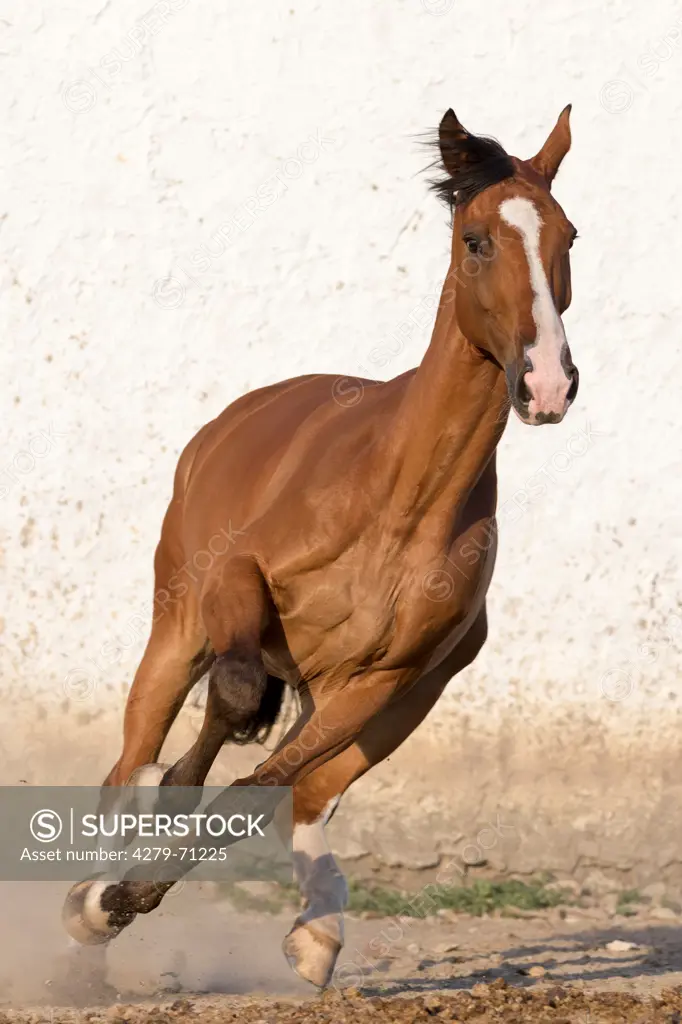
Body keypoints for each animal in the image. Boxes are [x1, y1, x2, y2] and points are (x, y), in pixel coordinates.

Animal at [61, 105, 577, 991]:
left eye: (568, 237)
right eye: (476, 239)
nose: (545, 382)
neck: (401, 501)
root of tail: (226, 422)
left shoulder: (387, 683)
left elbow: (262, 789)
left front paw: (130, 897)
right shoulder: (237, 583)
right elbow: (233, 704)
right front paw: (104, 899)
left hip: (374, 700)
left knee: (296, 790)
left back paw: (312, 926)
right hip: (176, 627)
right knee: (131, 763)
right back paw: (88, 921)